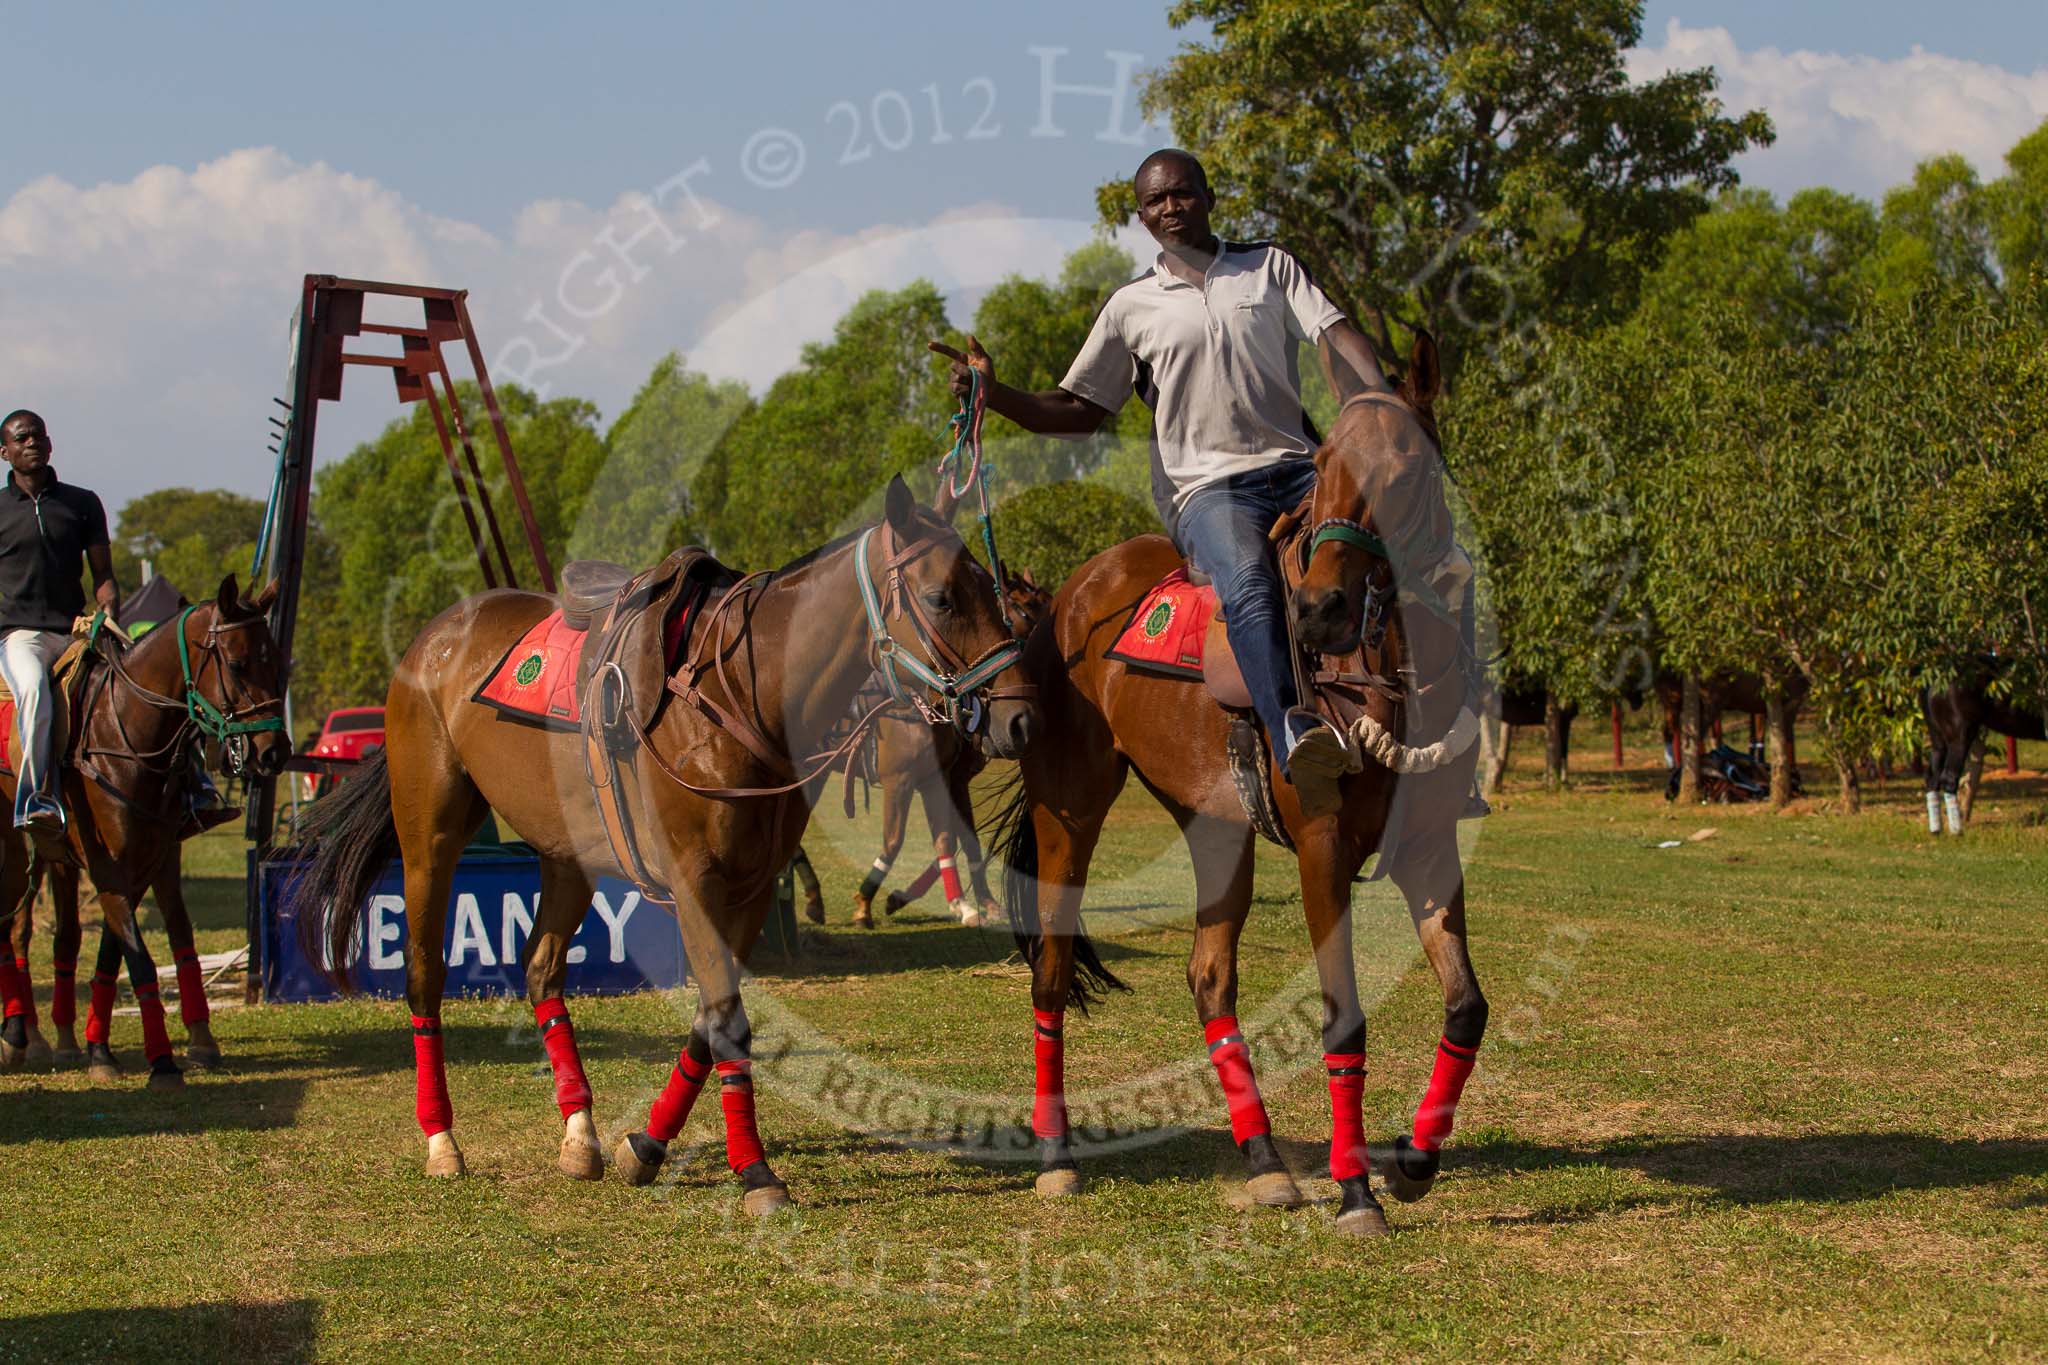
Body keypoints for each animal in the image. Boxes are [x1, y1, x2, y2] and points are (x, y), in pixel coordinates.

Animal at [288, 480, 1040, 1219]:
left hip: (567, 855)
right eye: (942, 599)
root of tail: (430, 641)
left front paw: (644, 1146)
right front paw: (754, 1170)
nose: (1020, 720)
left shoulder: (751, 887)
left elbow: (712, 1020)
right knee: (425, 974)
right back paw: (442, 1140)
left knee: (542, 971)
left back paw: (579, 1133)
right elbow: (727, 1020)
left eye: (994, 593)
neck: (744, 693)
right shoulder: (694, 880)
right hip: (430, 837)